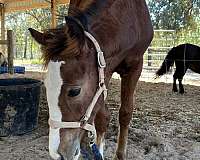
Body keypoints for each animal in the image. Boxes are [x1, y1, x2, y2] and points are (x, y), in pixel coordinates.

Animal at [28, 0, 153, 159]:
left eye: (75, 91)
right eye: (46, 86)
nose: (58, 154)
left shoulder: (135, 66)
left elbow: (125, 113)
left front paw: (119, 155)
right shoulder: (105, 73)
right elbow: (102, 118)